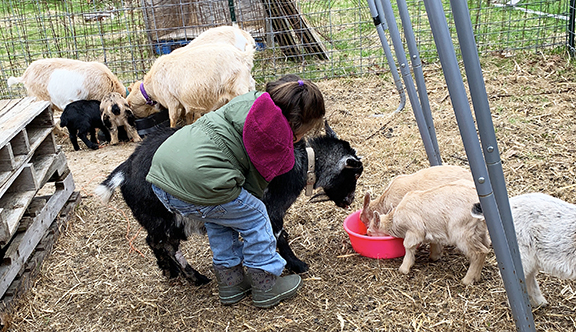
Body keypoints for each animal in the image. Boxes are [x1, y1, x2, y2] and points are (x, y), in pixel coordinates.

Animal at [96, 122, 362, 286]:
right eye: (354, 175)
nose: (349, 201)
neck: (307, 160)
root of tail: (126, 170)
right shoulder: (271, 207)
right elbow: (280, 236)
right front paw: (297, 265)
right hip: (165, 217)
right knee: (160, 243)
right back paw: (190, 276)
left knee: (159, 243)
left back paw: (174, 273)